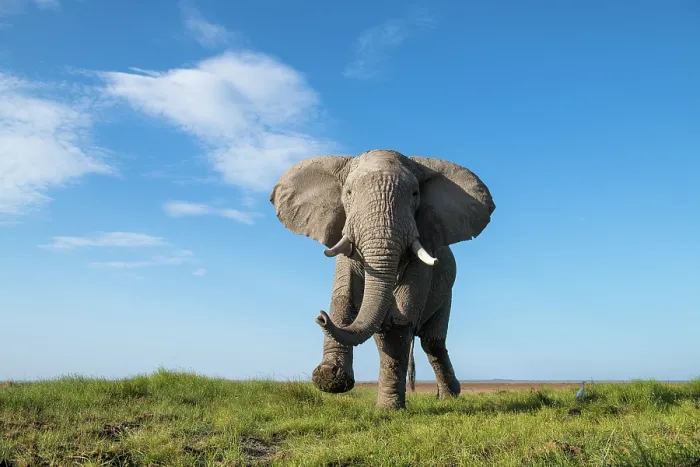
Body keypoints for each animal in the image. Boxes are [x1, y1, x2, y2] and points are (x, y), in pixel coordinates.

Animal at [270, 149, 495, 409]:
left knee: (432, 343)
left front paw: (389, 409)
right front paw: (330, 380)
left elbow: (398, 322)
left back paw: (450, 397)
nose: (321, 317)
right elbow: (344, 297)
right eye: (348, 193)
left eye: (415, 194)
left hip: (446, 291)